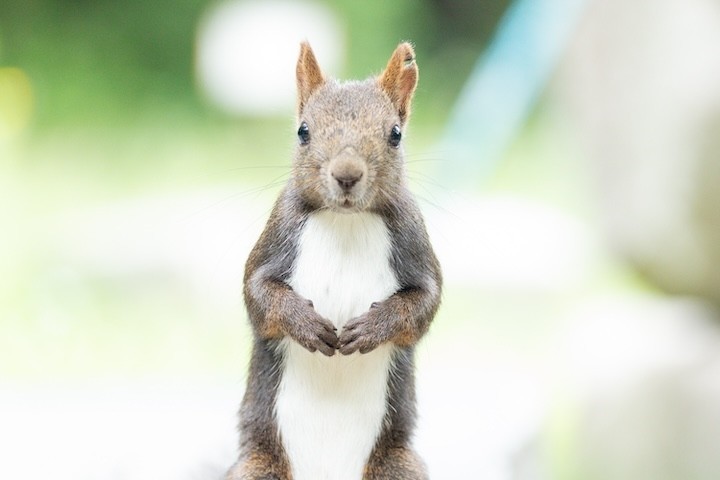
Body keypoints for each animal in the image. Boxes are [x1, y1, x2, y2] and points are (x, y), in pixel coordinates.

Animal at [225, 42, 442, 480]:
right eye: (303, 131)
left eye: (395, 134)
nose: (346, 174)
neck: (347, 222)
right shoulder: (278, 233)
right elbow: (258, 295)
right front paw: (305, 324)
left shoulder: (413, 241)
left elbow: (425, 302)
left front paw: (374, 327)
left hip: (397, 465)